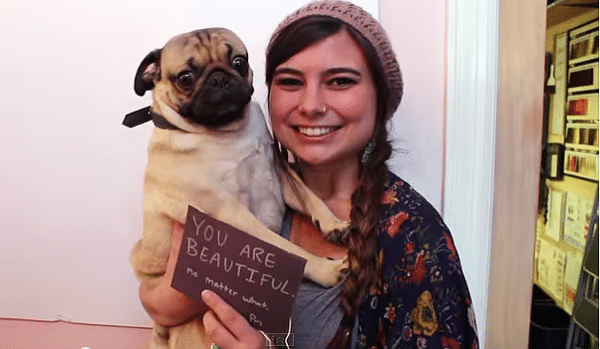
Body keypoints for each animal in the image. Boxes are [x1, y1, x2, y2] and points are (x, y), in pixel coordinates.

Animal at [127, 28, 350, 346]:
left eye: (238, 62)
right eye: (185, 78)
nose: (219, 78)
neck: (228, 132)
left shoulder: (279, 173)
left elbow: (311, 198)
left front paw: (333, 225)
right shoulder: (232, 215)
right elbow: (287, 250)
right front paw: (327, 269)